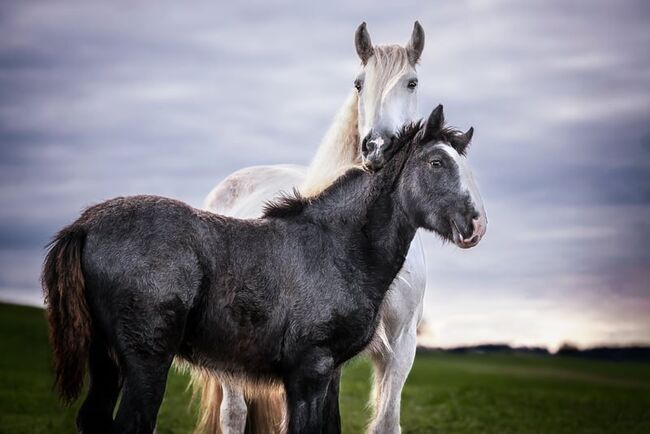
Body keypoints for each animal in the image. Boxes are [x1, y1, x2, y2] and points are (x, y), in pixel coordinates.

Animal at [43, 103, 480, 432]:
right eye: (436, 162)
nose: (476, 224)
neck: (337, 247)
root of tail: (84, 225)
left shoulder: (329, 373)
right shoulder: (308, 371)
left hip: (106, 359)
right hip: (146, 359)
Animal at [191, 22, 426, 432]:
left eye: (411, 82)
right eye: (359, 83)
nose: (378, 146)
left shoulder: (400, 344)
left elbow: (386, 422)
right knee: (233, 414)